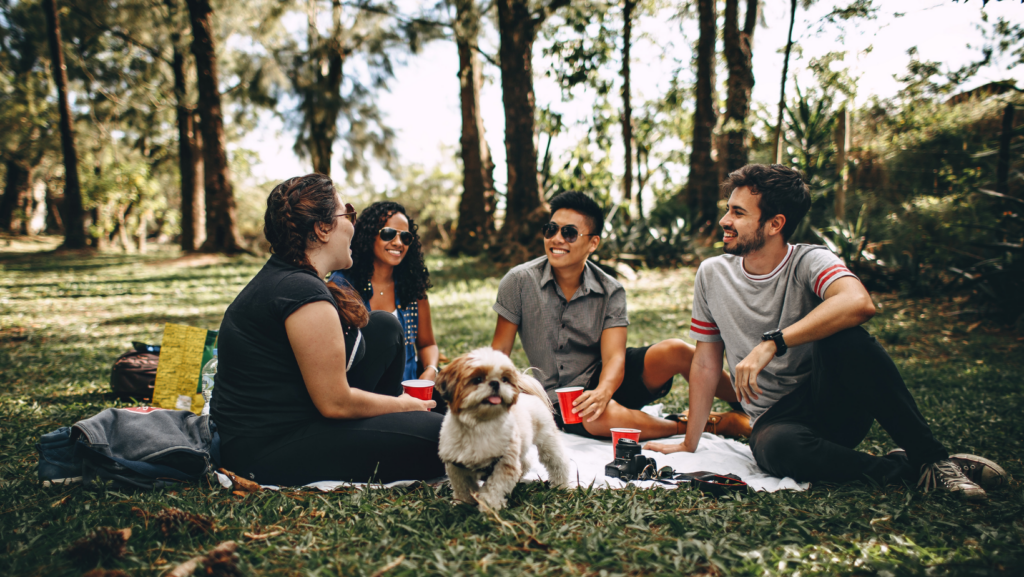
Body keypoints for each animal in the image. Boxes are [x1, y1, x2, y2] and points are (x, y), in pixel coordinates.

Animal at [436, 346, 573, 512]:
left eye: (504, 379)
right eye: (477, 379)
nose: (495, 383)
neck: (480, 424)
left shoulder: (504, 463)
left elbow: (494, 488)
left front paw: (489, 507)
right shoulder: (457, 466)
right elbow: (463, 487)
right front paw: (462, 504)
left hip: (547, 441)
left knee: (558, 462)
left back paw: (561, 485)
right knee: (525, 462)